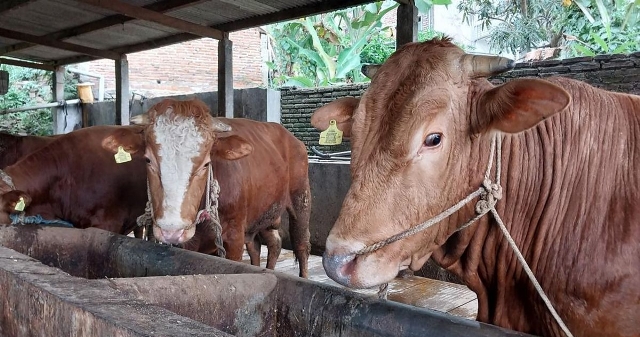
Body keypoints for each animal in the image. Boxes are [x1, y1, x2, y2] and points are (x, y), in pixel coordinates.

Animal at [103, 98, 312, 276]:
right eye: (148, 160)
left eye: (206, 163)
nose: (172, 231)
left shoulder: (234, 237)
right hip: (264, 211)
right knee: (269, 243)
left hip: (301, 198)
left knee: (301, 245)